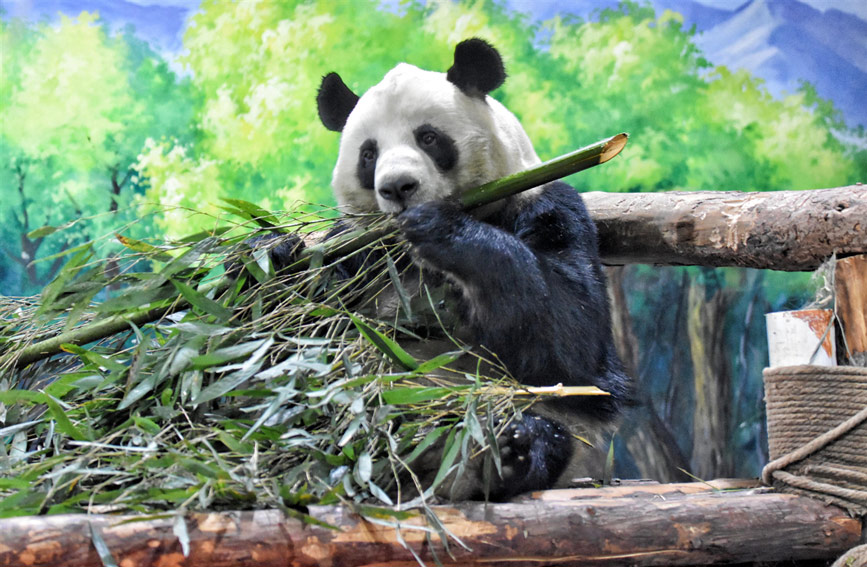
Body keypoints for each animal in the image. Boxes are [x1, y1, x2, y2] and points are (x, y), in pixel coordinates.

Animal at [276, 39, 629, 501]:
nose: (397, 188)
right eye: (369, 154)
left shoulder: (547, 206)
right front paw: (274, 257)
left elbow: (573, 341)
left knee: (547, 428)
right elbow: (303, 322)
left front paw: (440, 228)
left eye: (428, 138)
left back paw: (512, 450)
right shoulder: (358, 248)